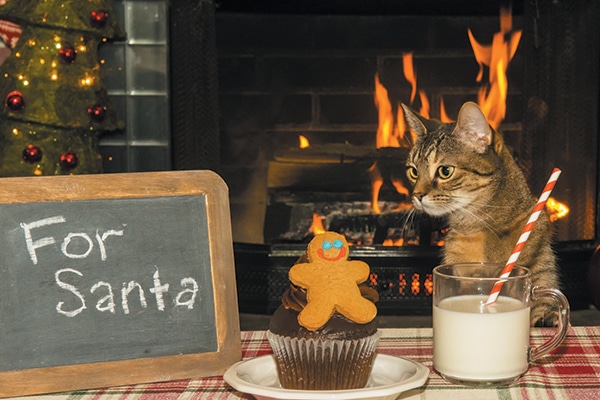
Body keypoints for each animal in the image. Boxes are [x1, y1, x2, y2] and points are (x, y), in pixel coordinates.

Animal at [400, 101, 560, 326]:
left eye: (445, 171)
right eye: (413, 171)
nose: (416, 195)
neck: (482, 225)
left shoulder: (541, 270)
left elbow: (544, 306)